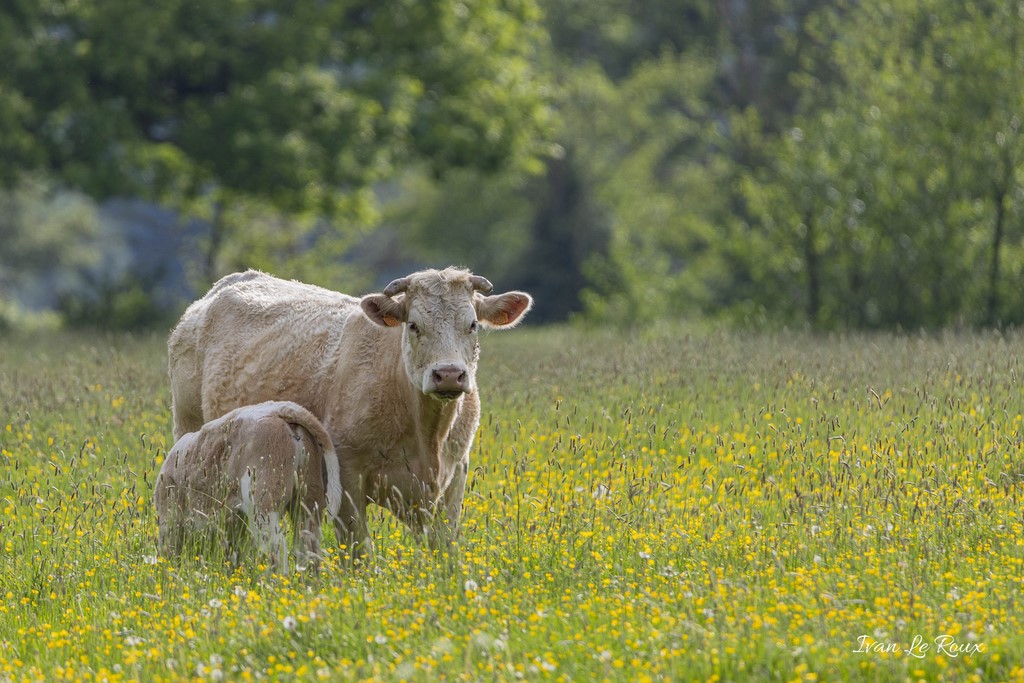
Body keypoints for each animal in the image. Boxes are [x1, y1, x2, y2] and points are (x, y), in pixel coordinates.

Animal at [154, 400, 343, 572]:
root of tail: (278, 409)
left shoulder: (170, 518)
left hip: (263, 501)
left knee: (277, 545)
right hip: (308, 498)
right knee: (308, 544)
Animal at [167, 267, 533, 559]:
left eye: (472, 325)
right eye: (414, 325)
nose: (449, 374)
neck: (427, 435)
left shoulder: (454, 477)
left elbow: (444, 548)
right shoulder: (347, 478)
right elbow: (359, 552)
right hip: (190, 436)